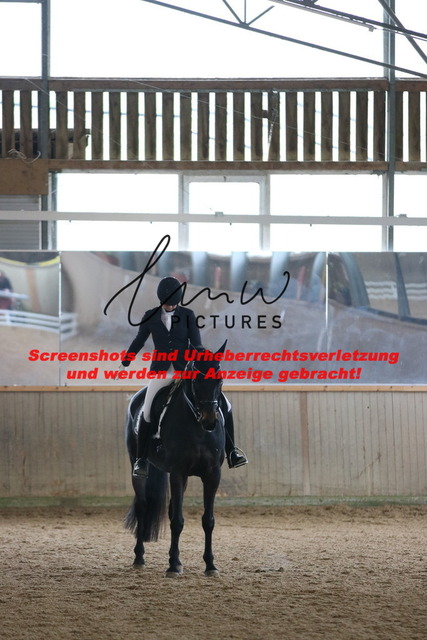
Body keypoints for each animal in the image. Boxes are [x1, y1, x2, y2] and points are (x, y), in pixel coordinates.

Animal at [124, 342, 227, 577]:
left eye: (219, 380)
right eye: (196, 380)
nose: (209, 421)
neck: (198, 429)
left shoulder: (212, 474)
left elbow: (208, 520)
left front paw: (210, 565)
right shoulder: (178, 472)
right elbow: (177, 521)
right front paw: (171, 566)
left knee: (171, 508)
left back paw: (178, 561)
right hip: (137, 463)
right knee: (142, 505)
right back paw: (139, 557)